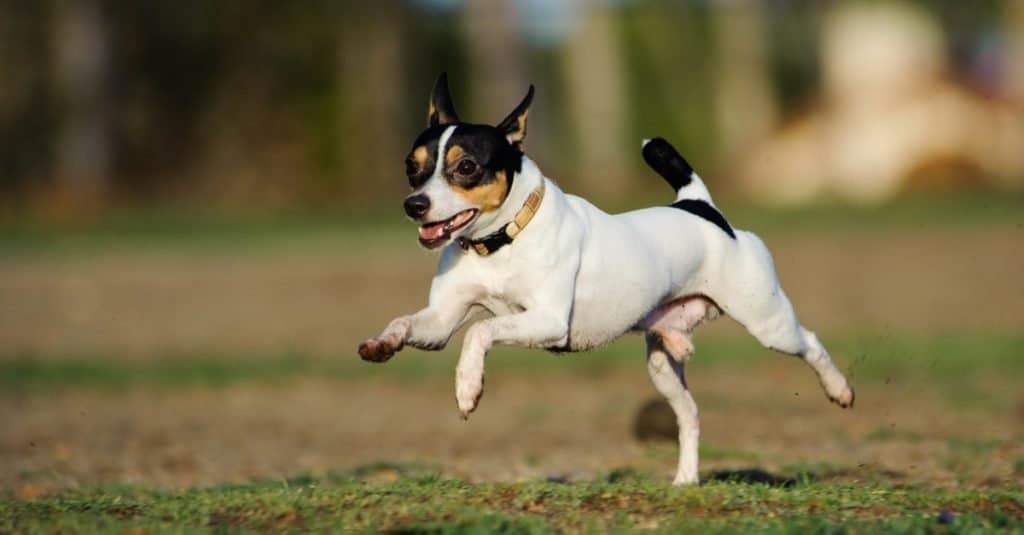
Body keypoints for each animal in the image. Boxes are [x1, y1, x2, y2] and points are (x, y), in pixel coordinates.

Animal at [356, 72, 851, 485]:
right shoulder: (440, 322)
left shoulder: (549, 321)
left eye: (466, 167)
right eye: (411, 166)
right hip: (662, 364)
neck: (501, 240)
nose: (414, 205)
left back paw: (840, 390)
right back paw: (685, 481)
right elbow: (408, 323)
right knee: (689, 416)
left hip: (768, 322)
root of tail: (701, 208)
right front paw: (382, 344)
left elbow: (480, 330)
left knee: (810, 342)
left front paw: (467, 387)